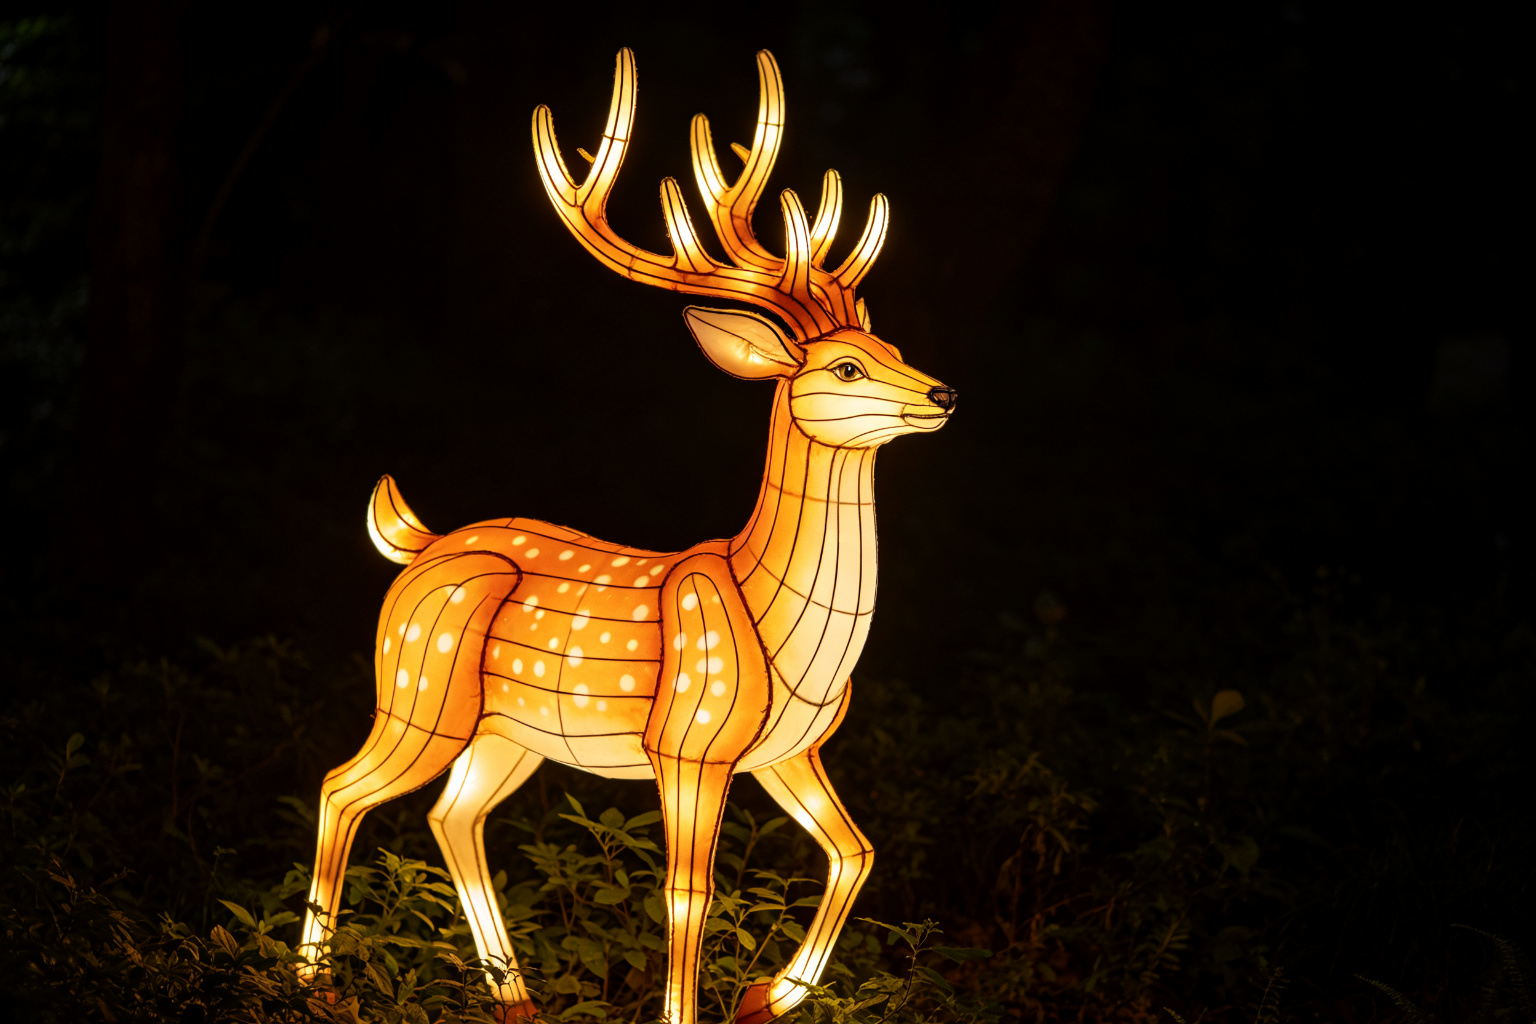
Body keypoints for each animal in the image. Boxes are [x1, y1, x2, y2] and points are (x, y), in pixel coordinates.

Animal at [297, 49, 956, 1024]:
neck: (784, 625)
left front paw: (765, 996)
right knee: (343, 785)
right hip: (417, 687)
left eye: (895, 349)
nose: (943, 394)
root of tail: (415, 544)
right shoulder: (688, 738)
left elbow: (858, 850)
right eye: (845, 367)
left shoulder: (792, 750)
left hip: (508, 731)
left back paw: (515, 998)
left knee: (453, 815)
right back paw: (312, 985)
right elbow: (690, 891)